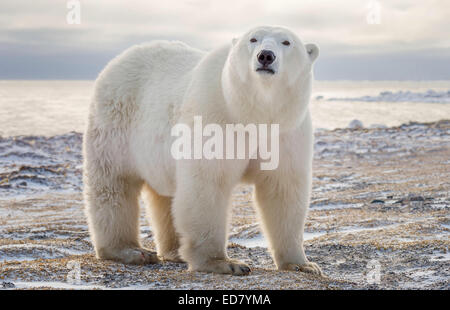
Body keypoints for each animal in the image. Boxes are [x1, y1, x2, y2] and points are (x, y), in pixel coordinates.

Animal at [83, 25, 320, 274]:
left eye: (287, 42)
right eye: (253, 39)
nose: (265, 56)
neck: (251, 113)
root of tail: (119, 59)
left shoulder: (286, 132)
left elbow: (283, 190)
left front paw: (303, 265)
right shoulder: (215, 115)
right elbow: (207, 184)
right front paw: (224, 263)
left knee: (167, 195)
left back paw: (174, 251)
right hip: (116, 121)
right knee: (114, 184)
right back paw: (131, 250)